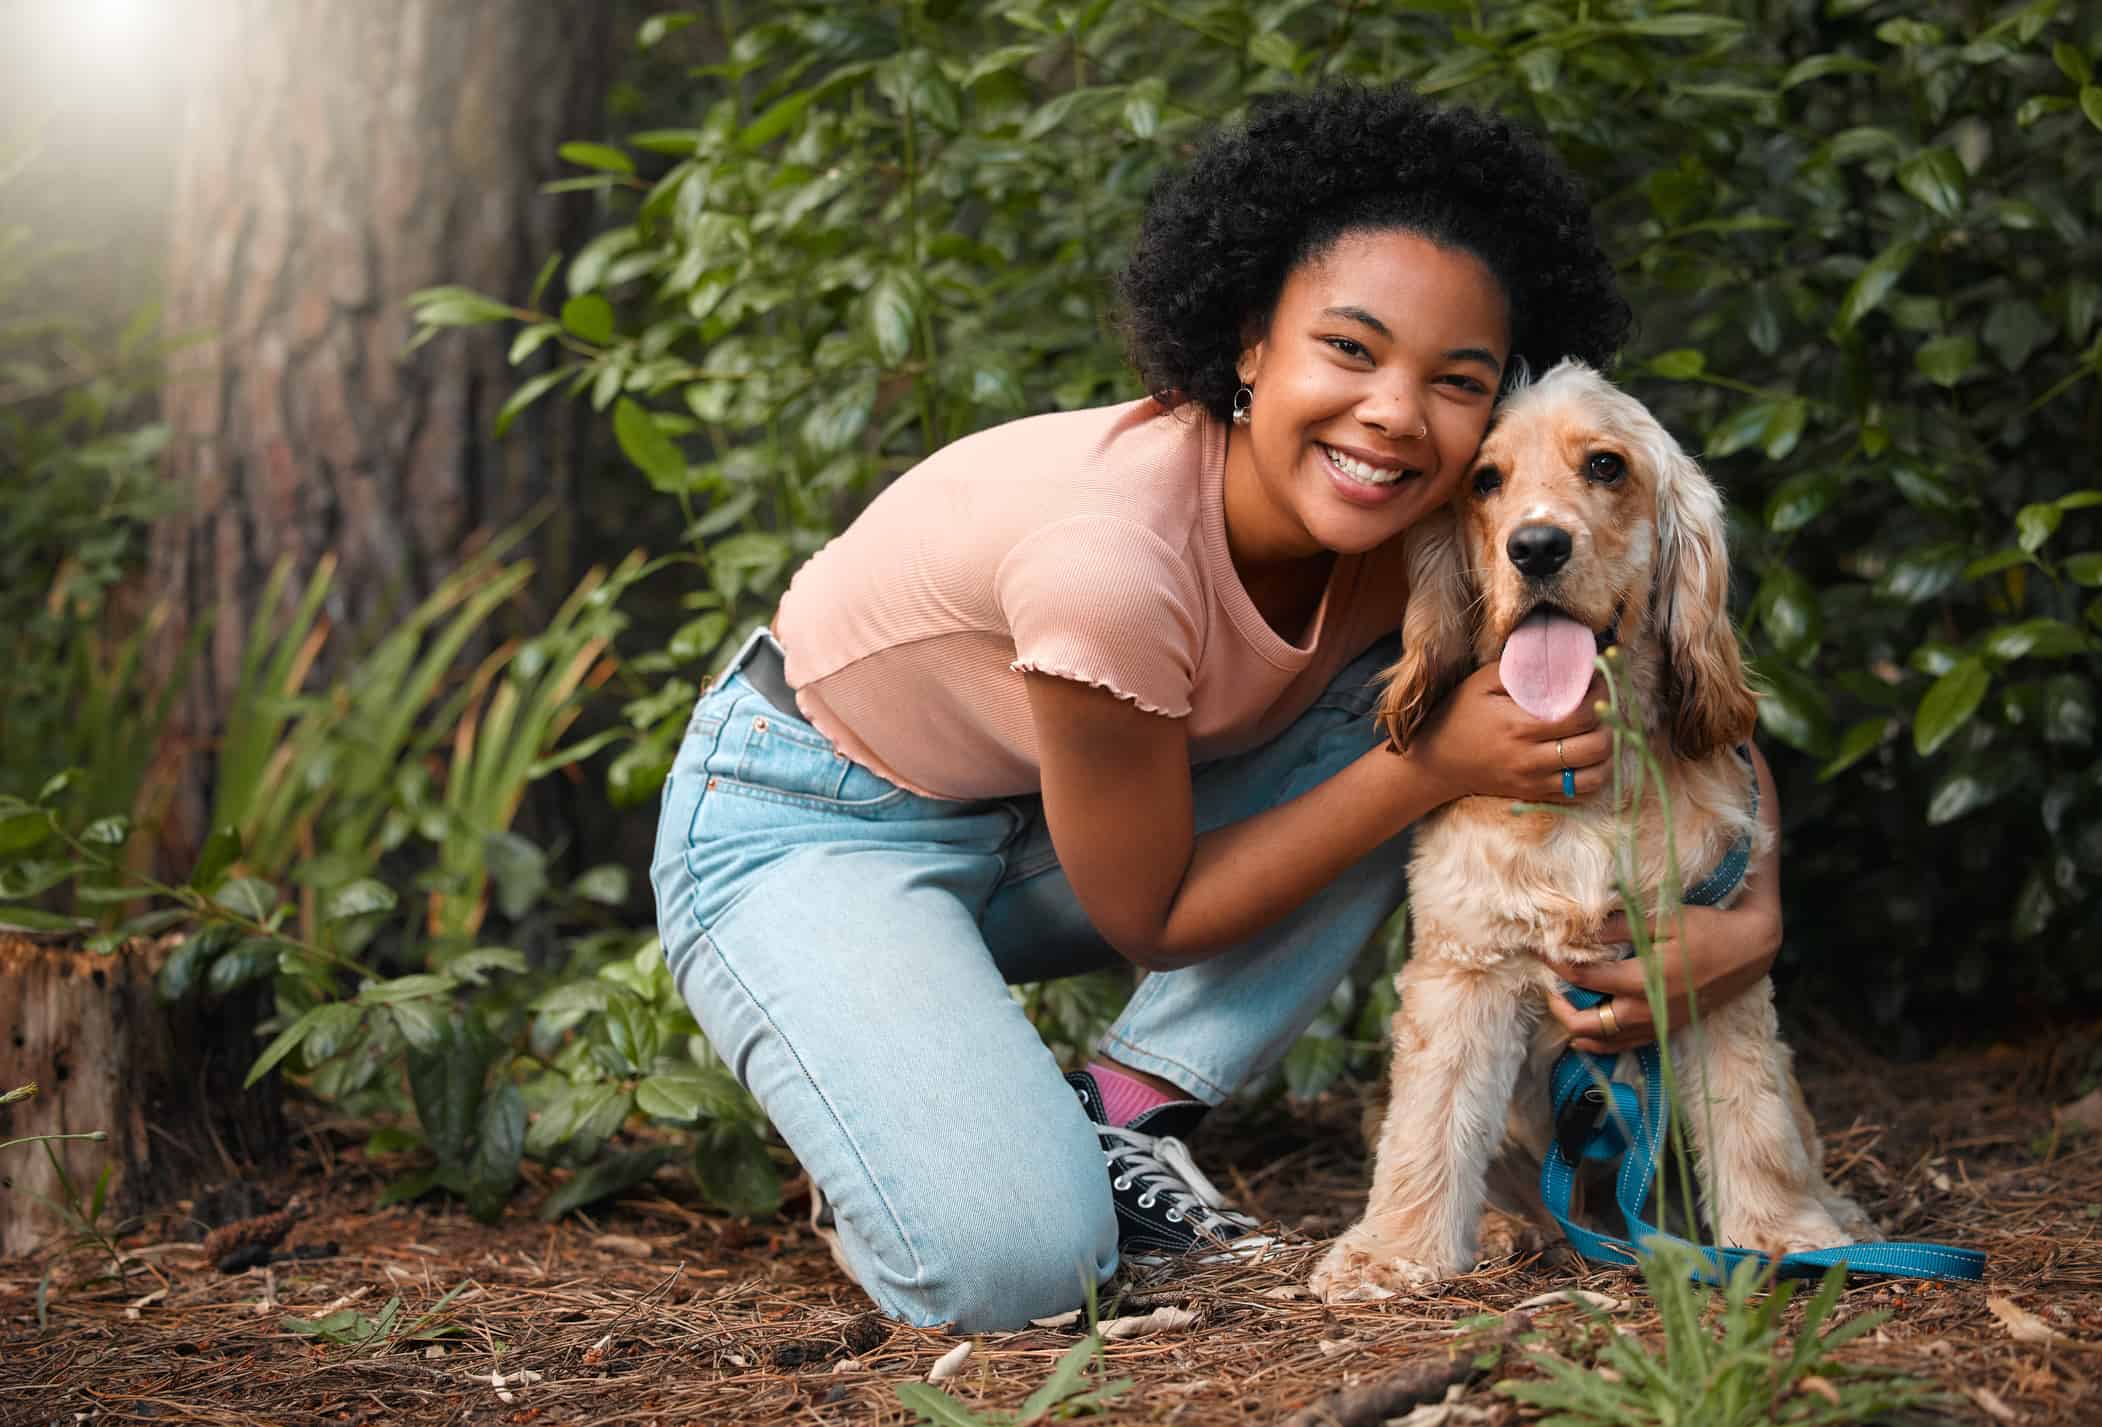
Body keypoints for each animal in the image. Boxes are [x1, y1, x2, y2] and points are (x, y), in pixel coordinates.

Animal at [1311, 359, 1874, 1303]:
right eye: (1484, 481)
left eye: (1606, 466)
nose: (1536, 547)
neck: (1586, 792)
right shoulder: (1465, 965)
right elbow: (1430, 1120)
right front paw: (1392, 1250)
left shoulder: (1714, 965)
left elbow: (1753, 1116)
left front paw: (1785, 1234)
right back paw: (1504, 1226)